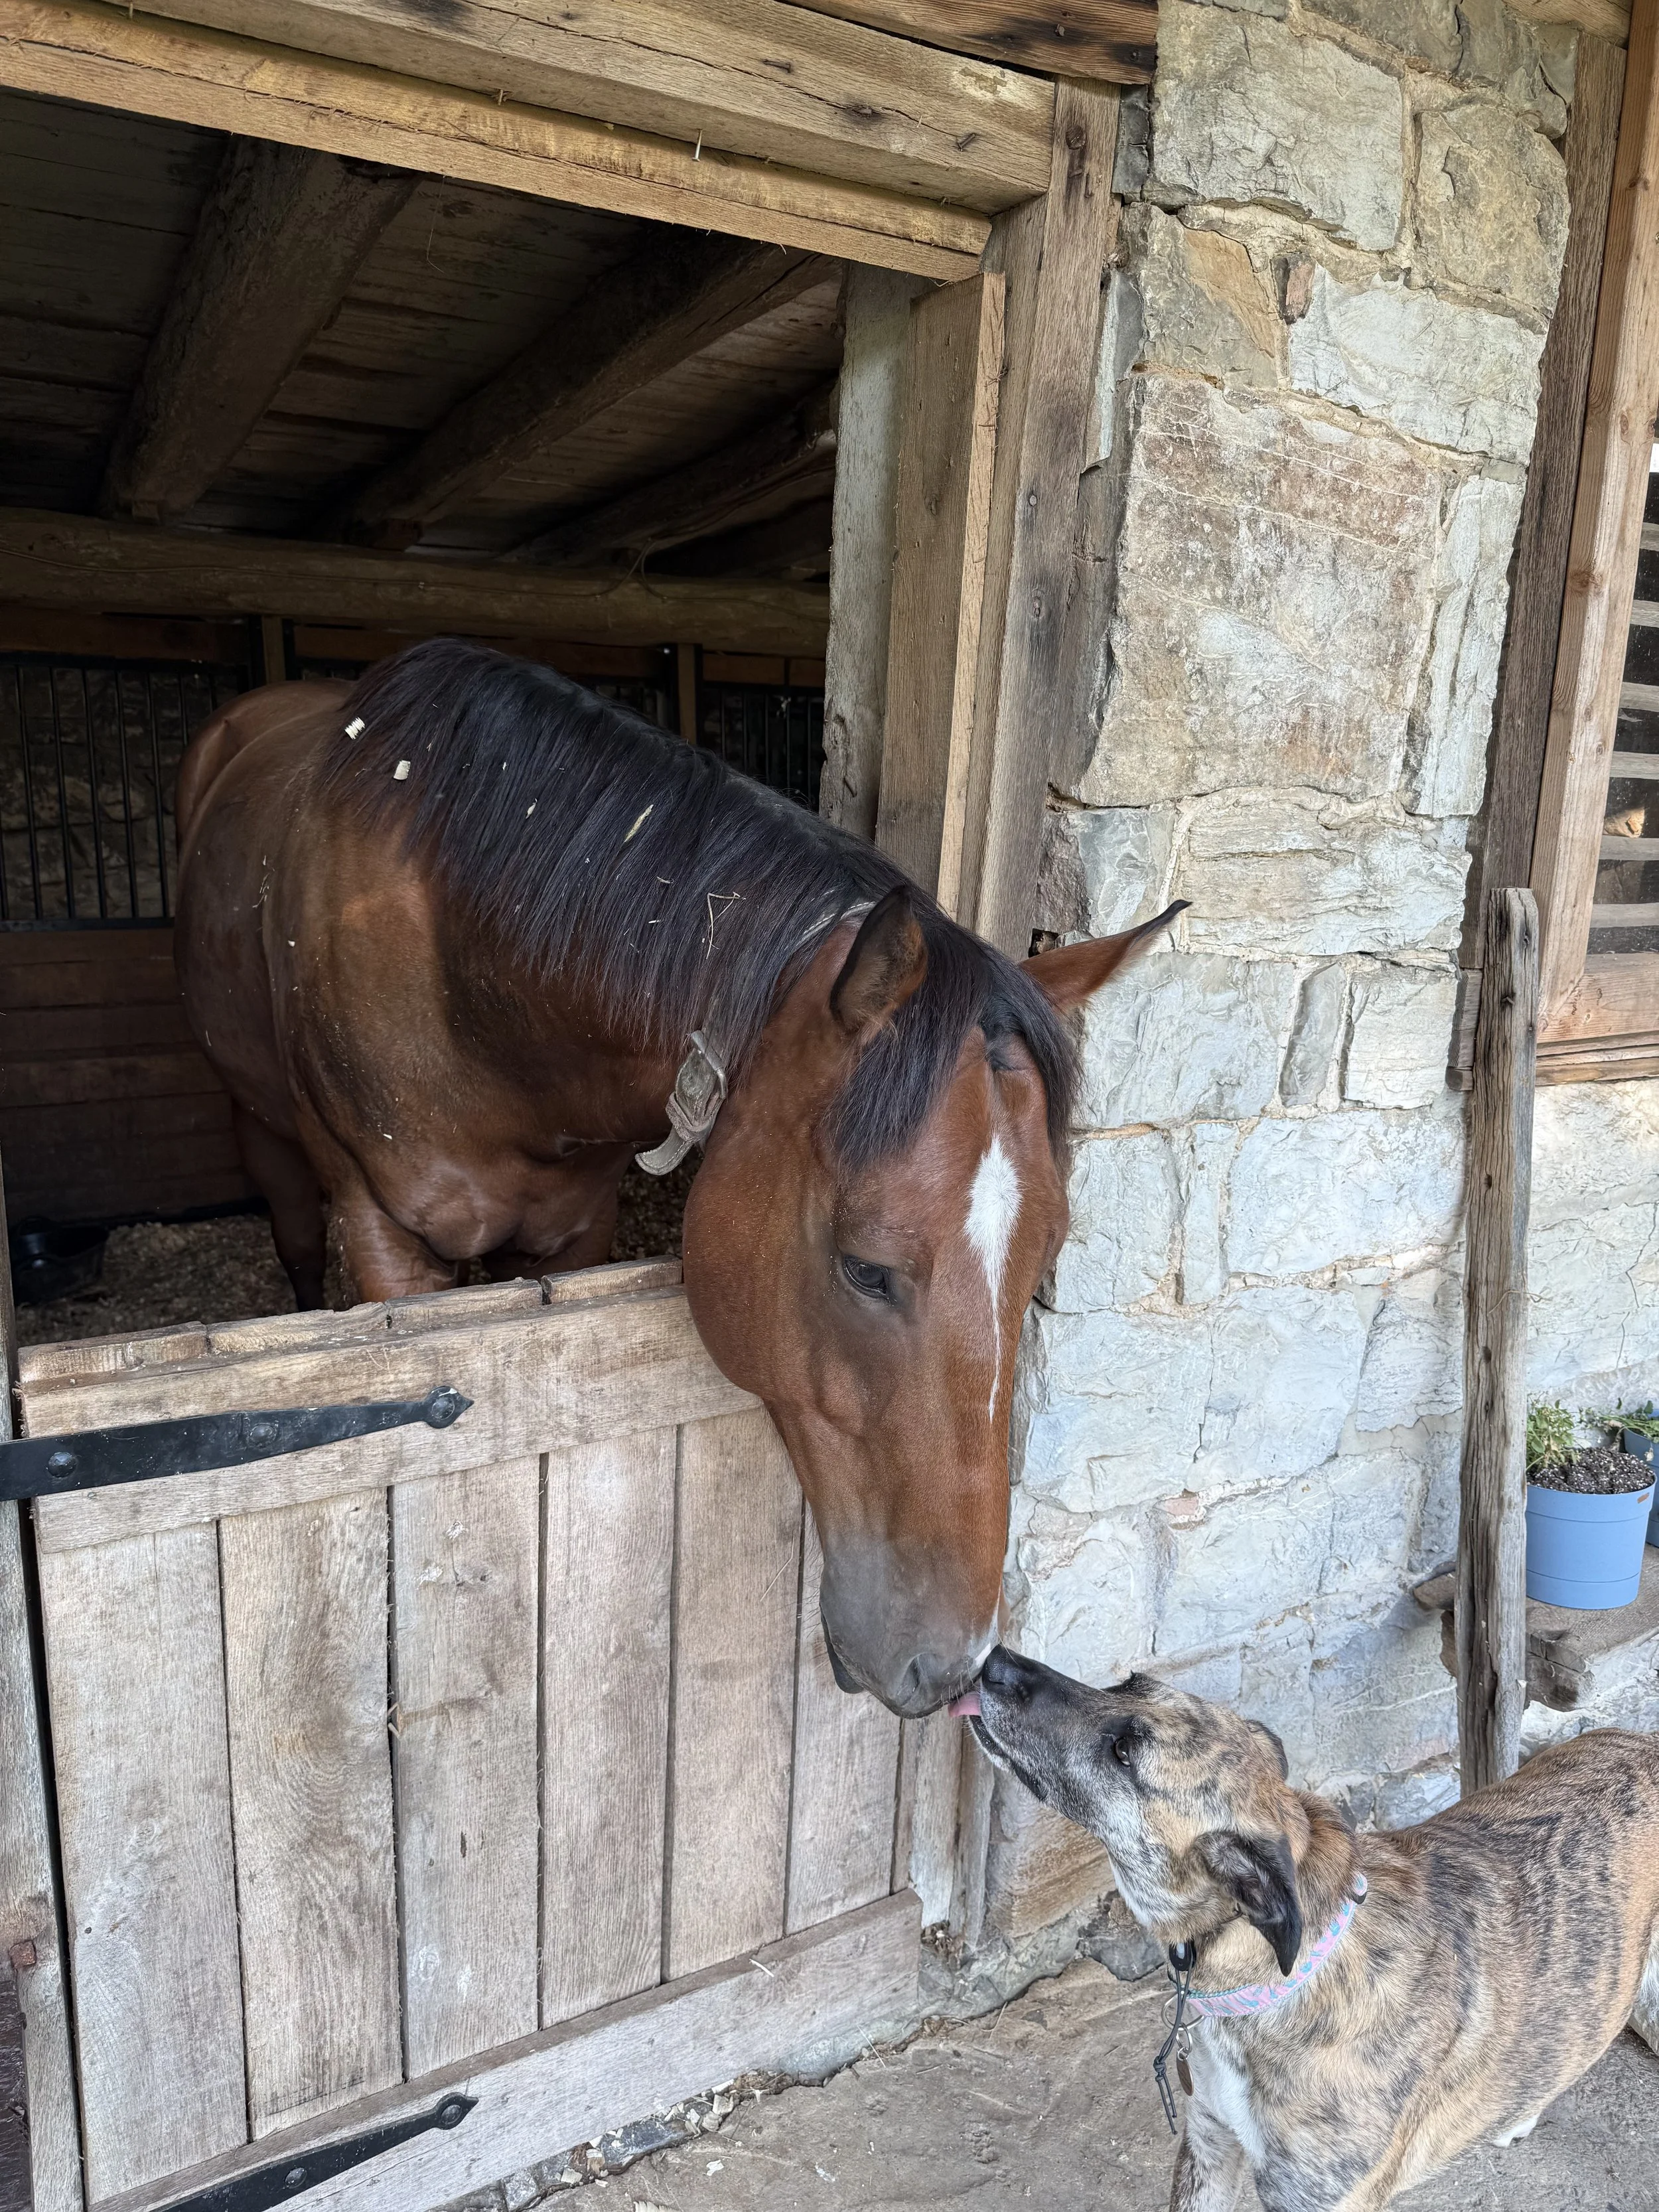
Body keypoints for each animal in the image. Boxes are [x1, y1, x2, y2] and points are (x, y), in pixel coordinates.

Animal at [174, 639, 1174, 1716]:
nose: (954, 1667)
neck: (462, 986)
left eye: (1043, 1260)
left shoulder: (575, 1230)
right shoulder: (384, 1240)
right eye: (865, 1269)